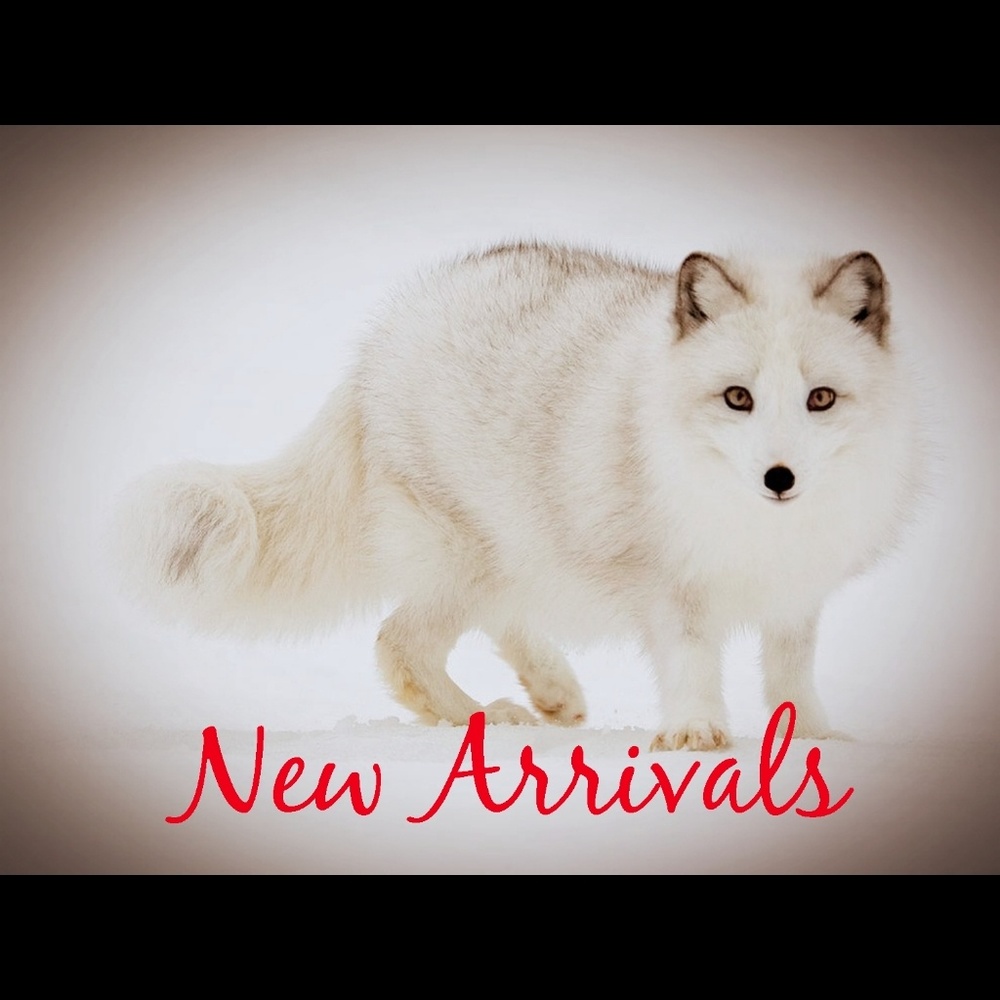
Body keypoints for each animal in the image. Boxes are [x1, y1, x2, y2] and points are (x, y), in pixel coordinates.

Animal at [116, 243, 924, 750]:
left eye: (820, 398)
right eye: (737, 397)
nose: (778, 478)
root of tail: (384, 335)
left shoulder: (797, 592)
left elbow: (791, 675)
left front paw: (816, 739)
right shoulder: (669, 584)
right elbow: (694, 662)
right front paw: (696, 735)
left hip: (513, 550)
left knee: (493, 621)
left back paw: (553, 691)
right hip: (469, 555)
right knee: (397, 646)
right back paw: (489, 718)